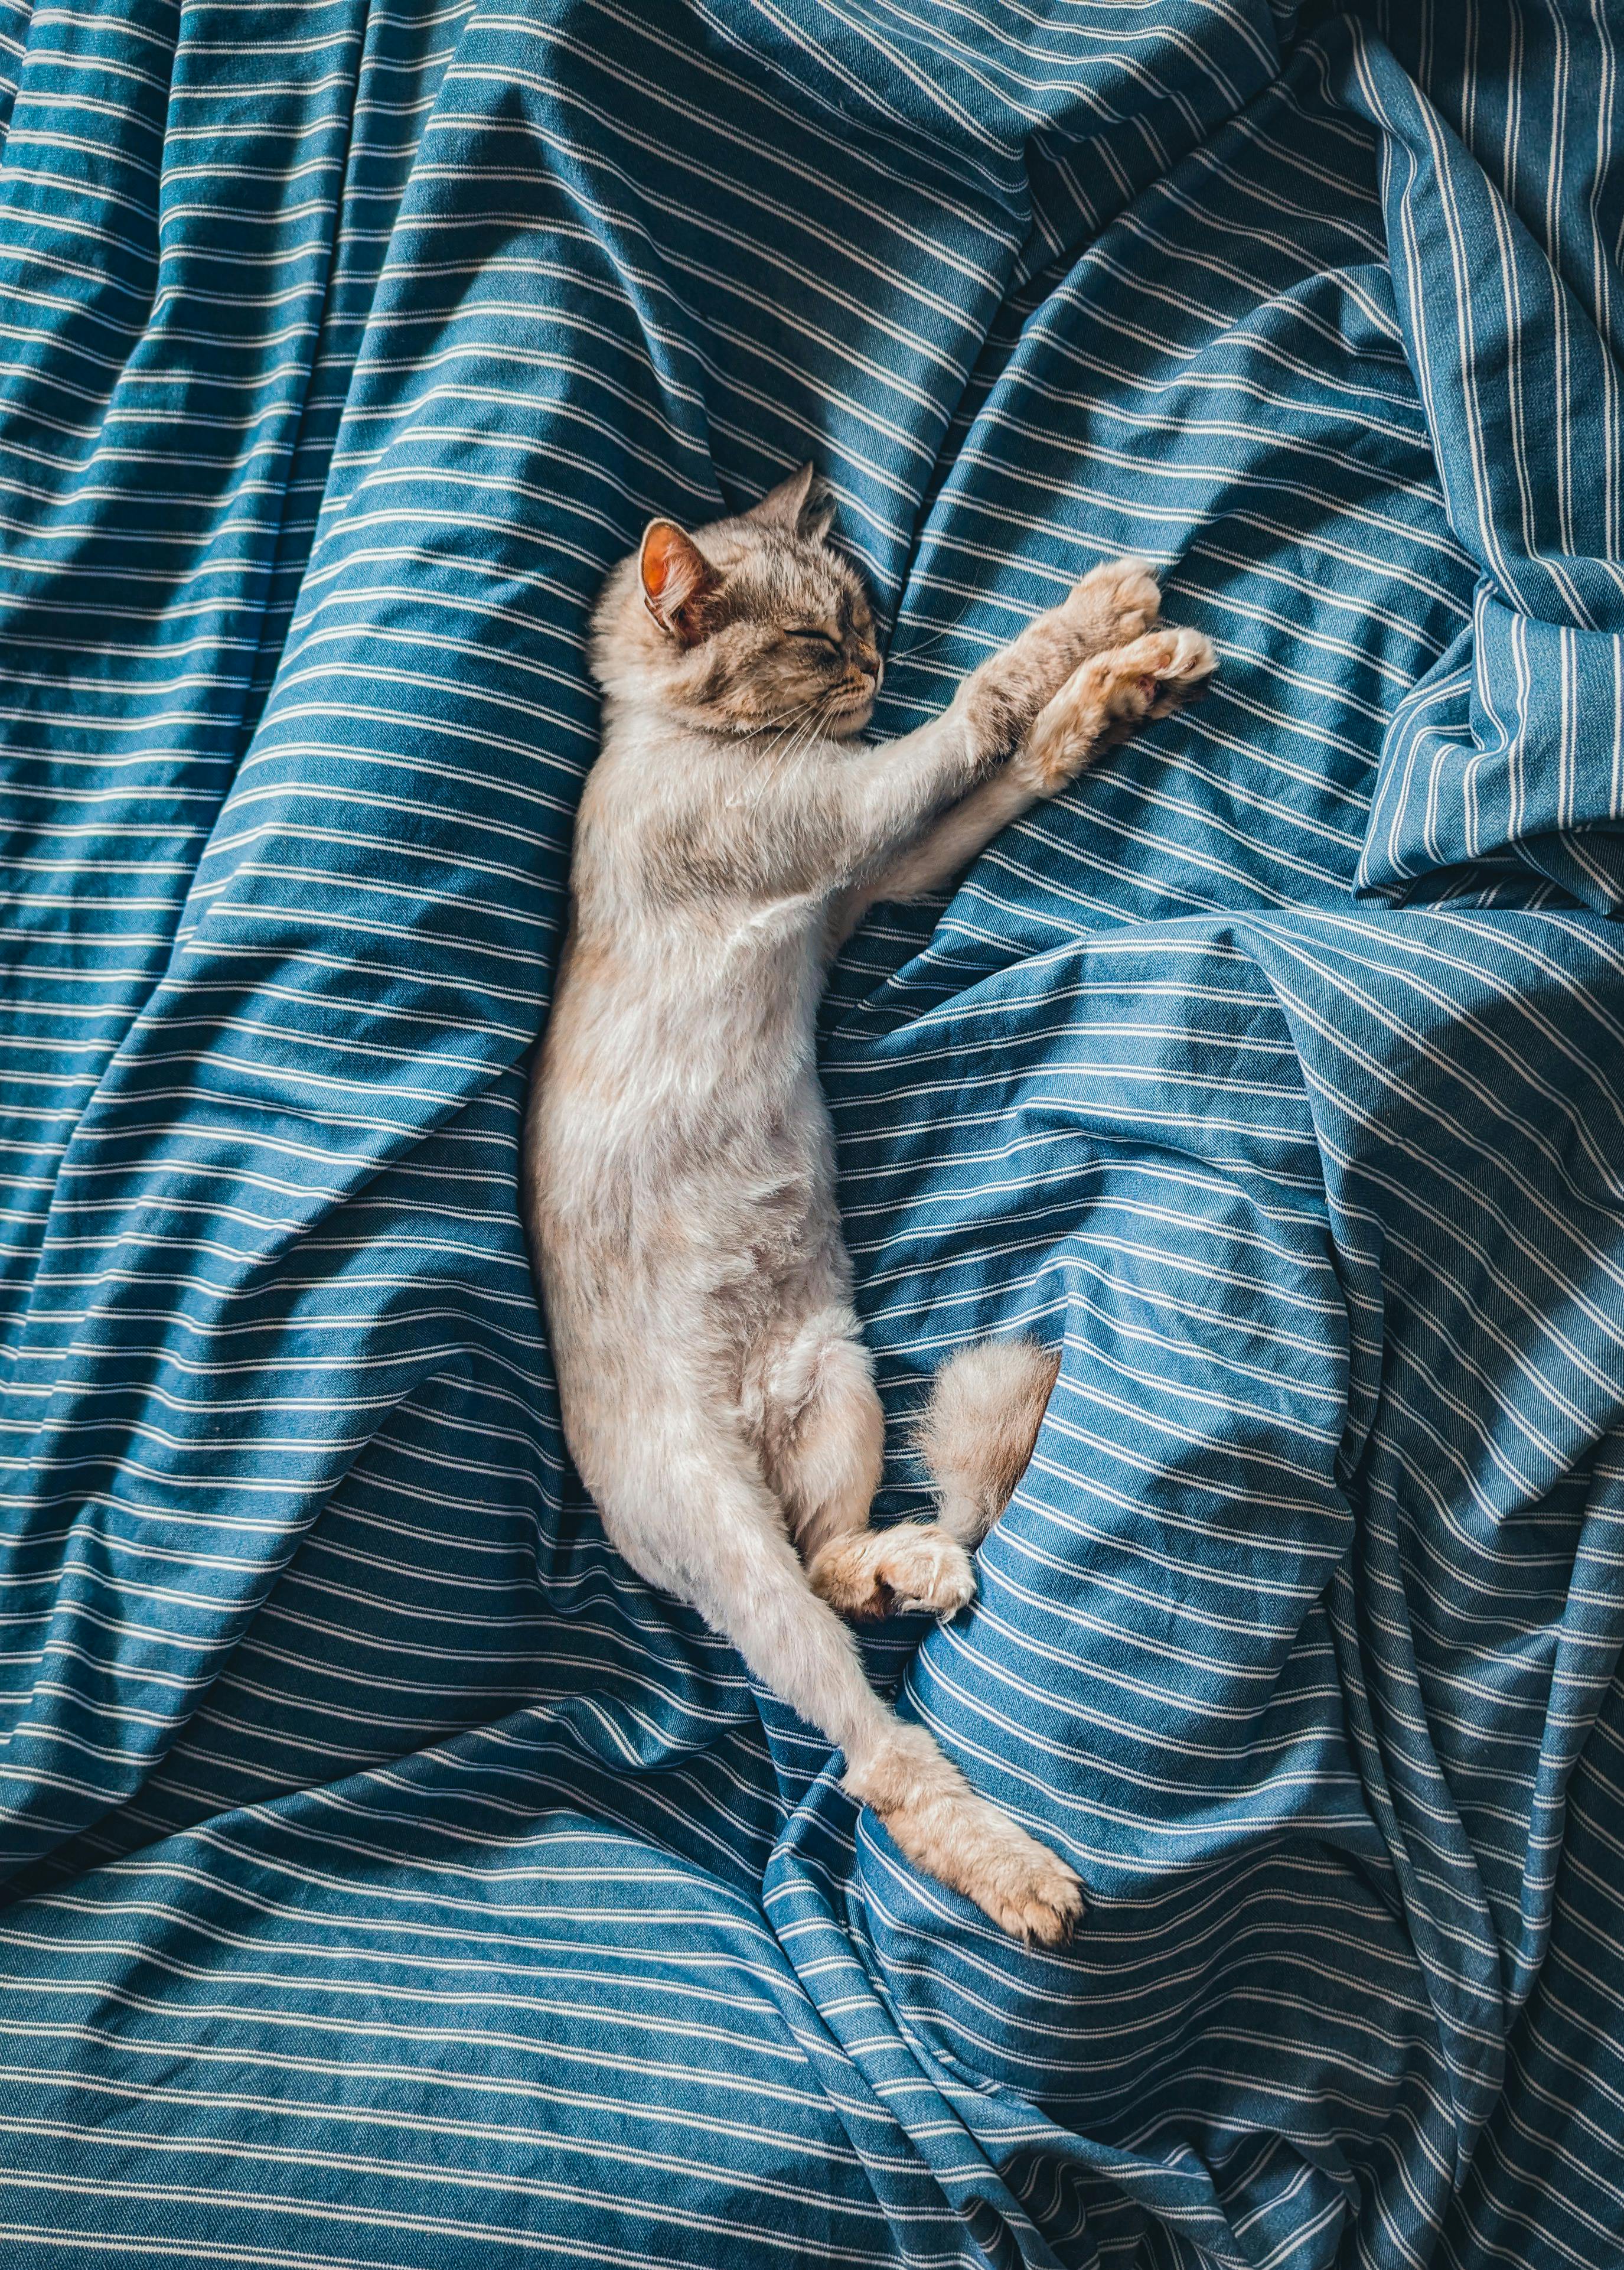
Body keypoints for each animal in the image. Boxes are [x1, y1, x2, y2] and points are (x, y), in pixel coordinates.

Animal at [526, 465, 1215, 1952]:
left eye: (859, 618)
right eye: (810, 640)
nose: (871, 665)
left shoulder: (867, 879)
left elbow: (1017, 762)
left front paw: (1121, 689)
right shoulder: (844, 817)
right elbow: (986, 700)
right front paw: (1102, 615)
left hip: (838, 1388)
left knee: (832, 1558)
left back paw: (909, 1568)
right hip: (732, 1539)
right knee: (871, 1750)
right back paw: (1019, 1879)